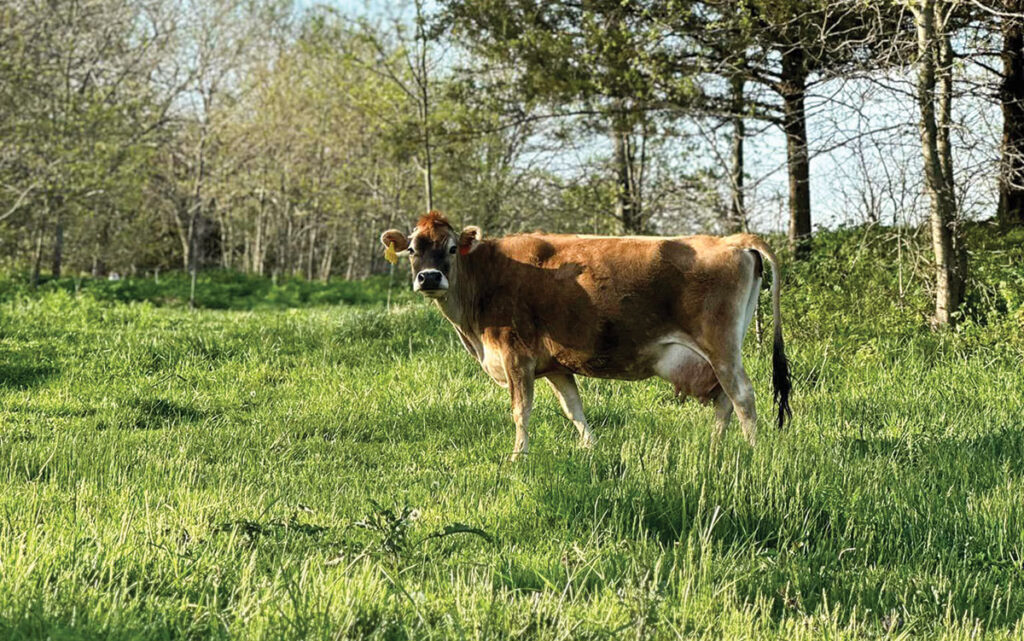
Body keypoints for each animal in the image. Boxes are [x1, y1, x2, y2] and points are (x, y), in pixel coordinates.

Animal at [385, 211, 790, 456]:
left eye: (452, 247)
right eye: (412, 249)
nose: (430, 278)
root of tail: (732, 240)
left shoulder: (517, 358)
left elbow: (521, 410)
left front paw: (519, 456)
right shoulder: (555, 366)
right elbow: (573, 409)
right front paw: (590, 449)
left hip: (721, 348)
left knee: (742, 396)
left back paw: (752, 452)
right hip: (718, 354)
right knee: (725, 400)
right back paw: (714, 448)